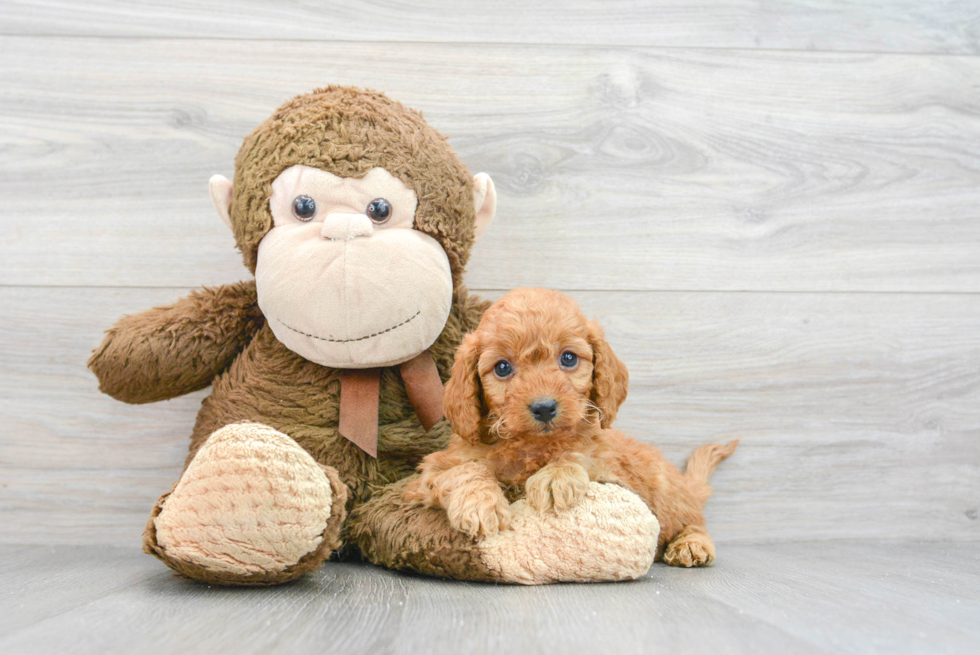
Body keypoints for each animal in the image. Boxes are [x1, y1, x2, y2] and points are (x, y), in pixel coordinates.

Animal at [404, 288, 736, 568]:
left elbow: (582, 453)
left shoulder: (612, 469)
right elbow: (464, 470)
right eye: (502, 367)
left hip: (667, 494)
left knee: (692, 521)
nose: (544, 407)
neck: (530, 446)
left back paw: (692, 544)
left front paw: (556, 475)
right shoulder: (428, 473)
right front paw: (480, 503)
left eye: (568, 358)